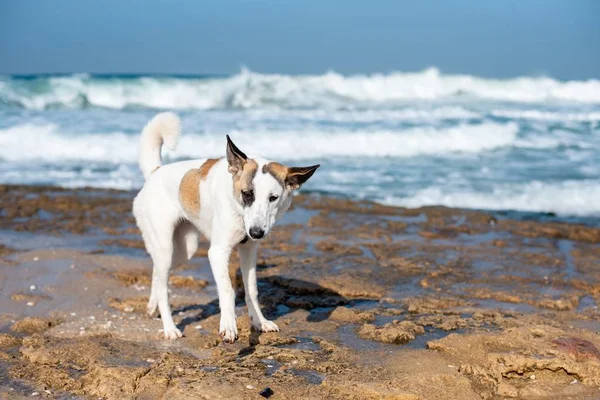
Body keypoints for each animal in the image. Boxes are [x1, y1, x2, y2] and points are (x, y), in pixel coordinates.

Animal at [131, 111, 318, 342]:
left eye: (273, 198)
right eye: (247, 194)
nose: (257, 233)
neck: (238, 208)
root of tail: (155, 172)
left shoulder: (249, 250)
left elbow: (251, 290)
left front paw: (259, 321)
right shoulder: (218, 253)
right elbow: (228, 290)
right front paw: (229, 325)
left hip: (184, 249)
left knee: (157, 273)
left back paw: (151, 306)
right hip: (166, 247)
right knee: (164, 289)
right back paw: (169, 328)